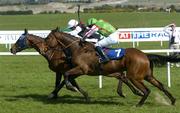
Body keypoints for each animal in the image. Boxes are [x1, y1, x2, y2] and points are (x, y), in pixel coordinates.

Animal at [45, 27, 180, 106]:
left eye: (48, 38)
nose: (45, 50)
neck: (78, 49)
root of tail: (145, 55)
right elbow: (67, 76)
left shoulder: (82, 69)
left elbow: (66, 74)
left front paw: (71, 88)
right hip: (147, 75)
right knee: (160, 86)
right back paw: (172, 101)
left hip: (135, 77)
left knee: (147, 90)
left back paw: (139, 104)